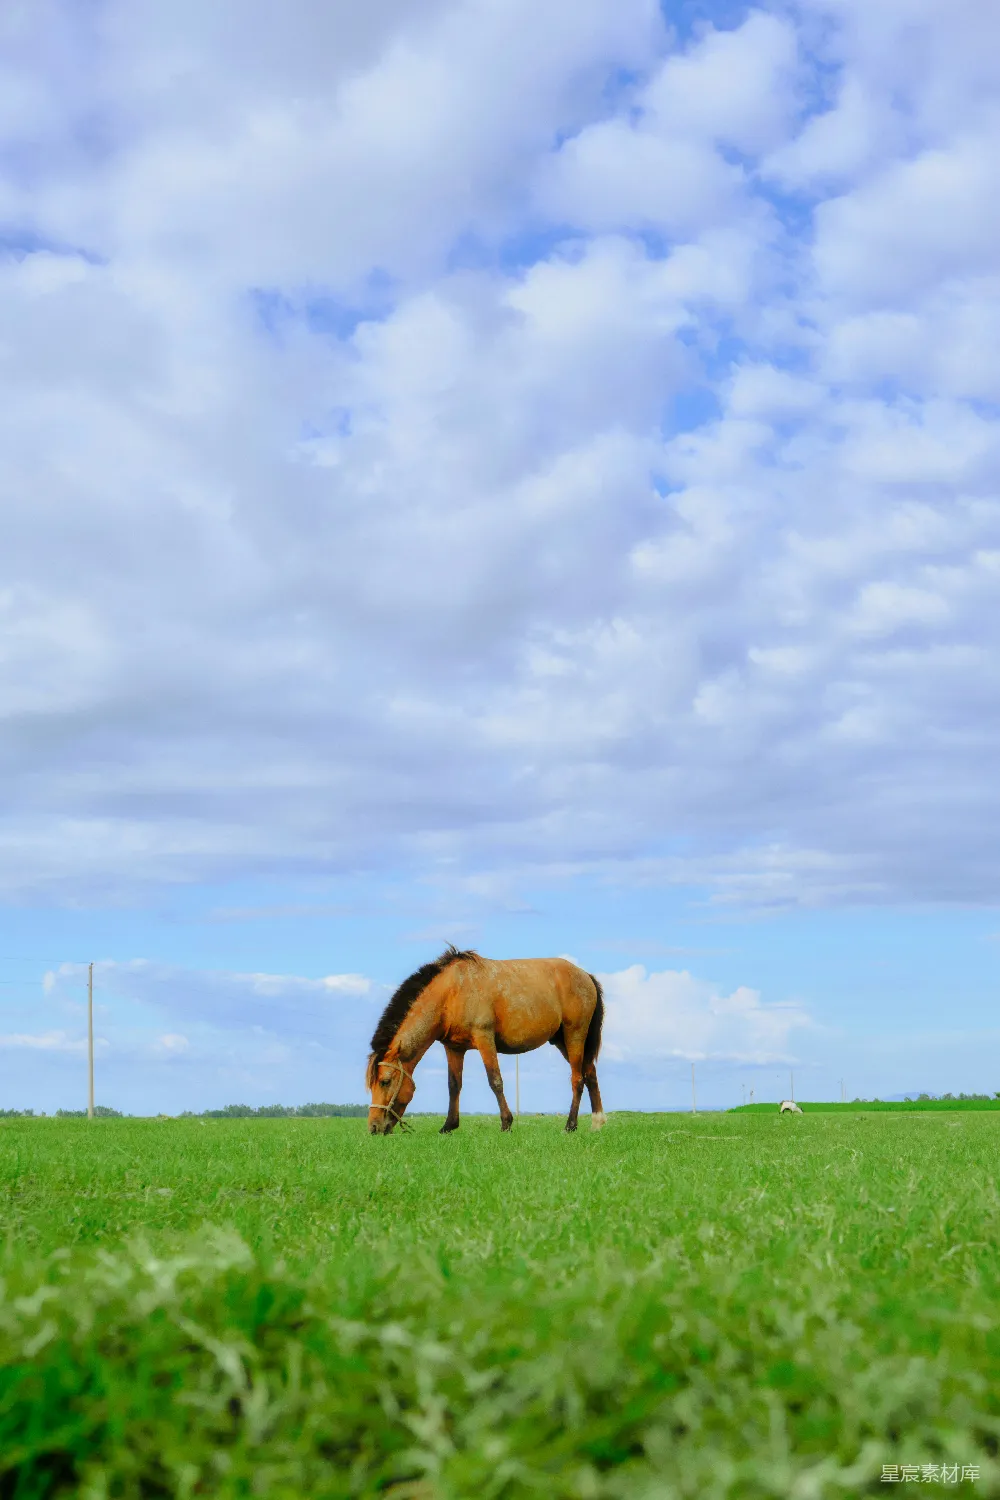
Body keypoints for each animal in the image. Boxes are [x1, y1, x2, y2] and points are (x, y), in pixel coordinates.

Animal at [366, 945, 605, 1135]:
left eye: (385, 1081)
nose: (374, 1127)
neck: (452, 992)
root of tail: (585, 975)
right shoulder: (453, 1048)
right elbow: (454, 1085)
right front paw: (449, 1126)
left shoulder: (484, 1039)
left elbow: (495, 1080)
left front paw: (506, 1124)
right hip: (562, 1041)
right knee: (590, 1073)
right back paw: (597, 1123)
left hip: (574, 1035)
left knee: (578, 1079)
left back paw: (570, 1125)